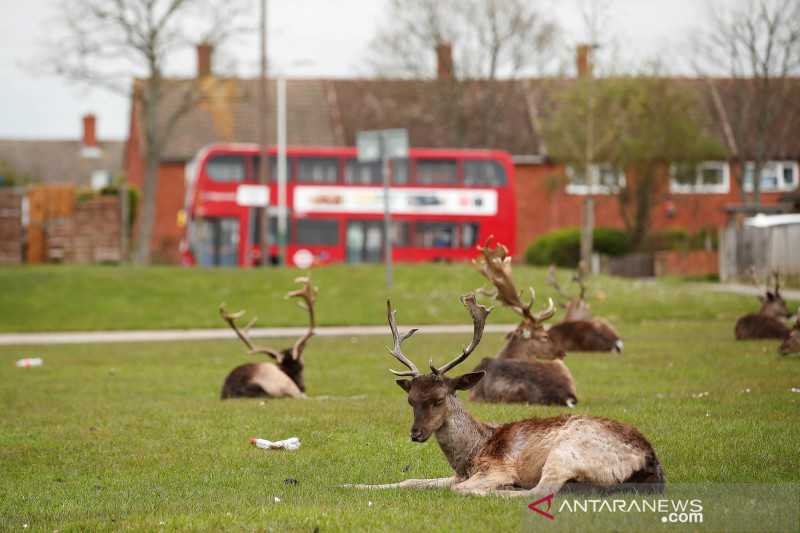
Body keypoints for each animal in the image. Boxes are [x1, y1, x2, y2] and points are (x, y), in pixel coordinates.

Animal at [346, 290, 664, 494]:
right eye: (411, 400)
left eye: (438, 399)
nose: (416, 434)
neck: (471, 456)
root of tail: (650, 463)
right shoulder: (456, 475)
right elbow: (409, 482)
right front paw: (350, 485)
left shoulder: (495, 468)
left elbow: (458, 489)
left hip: (567, 452)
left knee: (540, 491)